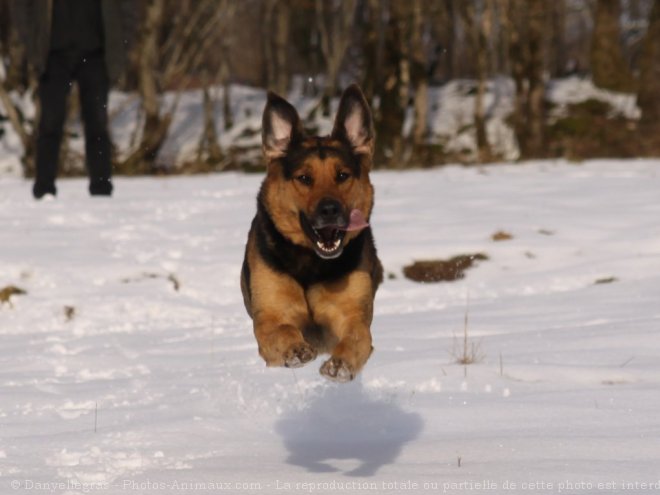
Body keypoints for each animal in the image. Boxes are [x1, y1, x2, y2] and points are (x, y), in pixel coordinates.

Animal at [242, 84, 384, 384]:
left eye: (342, 175)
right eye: (304, 178)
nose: (330, 210)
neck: (312, 262)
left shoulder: (352, 315)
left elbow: (357, 337)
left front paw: (340, 364)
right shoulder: (270, 315)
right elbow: (280, 329)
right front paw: (295, 349)